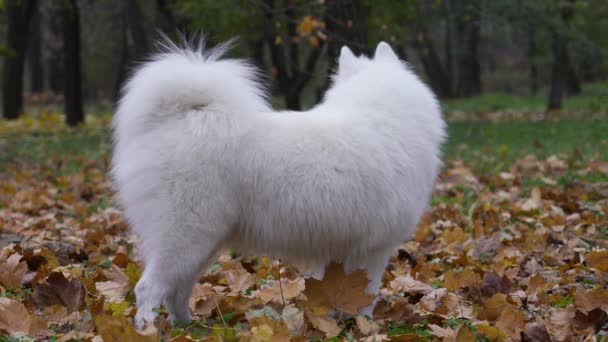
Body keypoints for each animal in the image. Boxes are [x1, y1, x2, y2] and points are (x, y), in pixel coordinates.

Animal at [111, 38, 446, 328]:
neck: (384, 119)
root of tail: (179, 118)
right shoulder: (374, 249)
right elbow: (367, 294)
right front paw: (365, 325)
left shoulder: (337, 246)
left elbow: (337, 290)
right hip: (184, 236)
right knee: (148, 288)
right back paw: (146, 329)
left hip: (204, 243)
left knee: (177, 289)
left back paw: (188, 325)